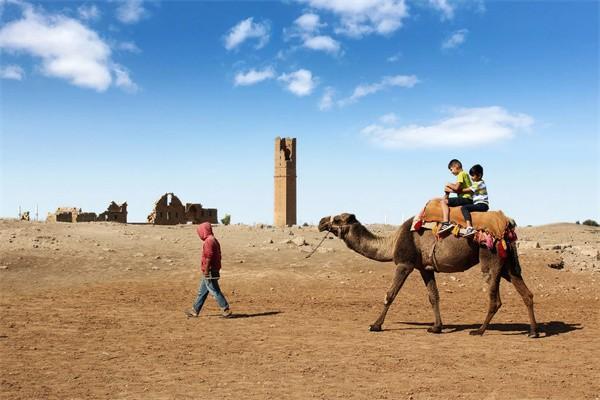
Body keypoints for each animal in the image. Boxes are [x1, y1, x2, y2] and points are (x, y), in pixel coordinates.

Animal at [318, 212, 540, 338]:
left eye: (337, 218)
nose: (321, 222)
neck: (391, 243)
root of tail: (507, 227)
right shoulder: (424, 268)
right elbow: (434, 296)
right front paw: (436, 327)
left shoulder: (405, 264)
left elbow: (390, 294)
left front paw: (375, 325)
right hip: (507, 265)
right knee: (527, 293)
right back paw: (533, 332)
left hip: (490, 258)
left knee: (495, 299)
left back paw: (479, 331)